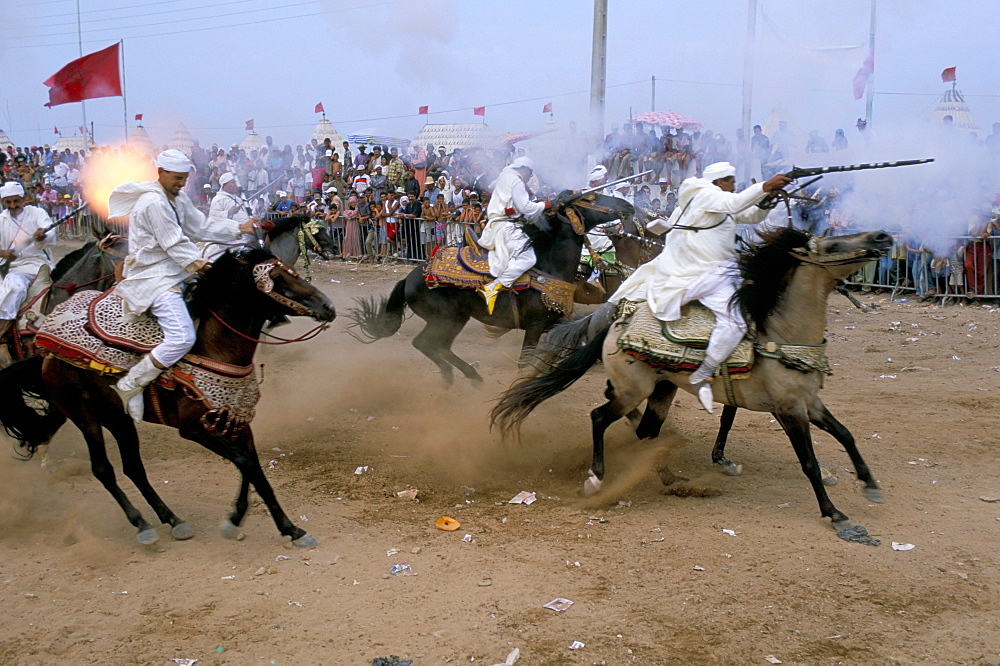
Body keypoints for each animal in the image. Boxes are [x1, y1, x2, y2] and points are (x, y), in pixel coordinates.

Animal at [348, 189, 636, 382]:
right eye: (591, 198)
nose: (627, 205)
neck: (548, 265)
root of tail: (409, 278)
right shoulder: (534, 328)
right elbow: (524, 365)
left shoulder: (559, 324)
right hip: (446, 319)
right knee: (425, 344)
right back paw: (460, 375)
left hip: (455, 319)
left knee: (437, 346)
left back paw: (465, 376)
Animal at [496, 228, 896, 540]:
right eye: (832, 245)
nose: (882, 236)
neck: (781, 337)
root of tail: (617, 319)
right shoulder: (789, 410)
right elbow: (809, 462)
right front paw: (836, 515)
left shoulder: (808, 404)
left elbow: (846, 434)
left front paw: (870, 486)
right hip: (634, 391)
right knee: (599, 416)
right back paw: (597, 478)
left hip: (661, 390)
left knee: (645, 431)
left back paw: (667, 474)